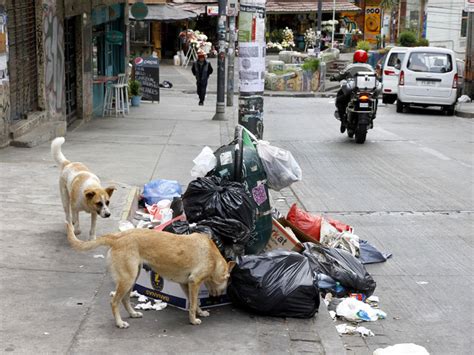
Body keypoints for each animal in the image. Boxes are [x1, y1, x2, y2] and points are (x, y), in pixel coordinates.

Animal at [65, 224, 236, 330]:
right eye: (227, 281)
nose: (217, 298)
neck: (213, 257)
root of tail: (117, 237)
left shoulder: (186, 284)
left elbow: (195, 303)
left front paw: (200, 312)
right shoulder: (194, 282)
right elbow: (193, 304)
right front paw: (193, 320)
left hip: (132, 277)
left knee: (125, 299)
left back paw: (132, 314)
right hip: (127, 279)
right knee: (114, 302)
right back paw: (120, 323)